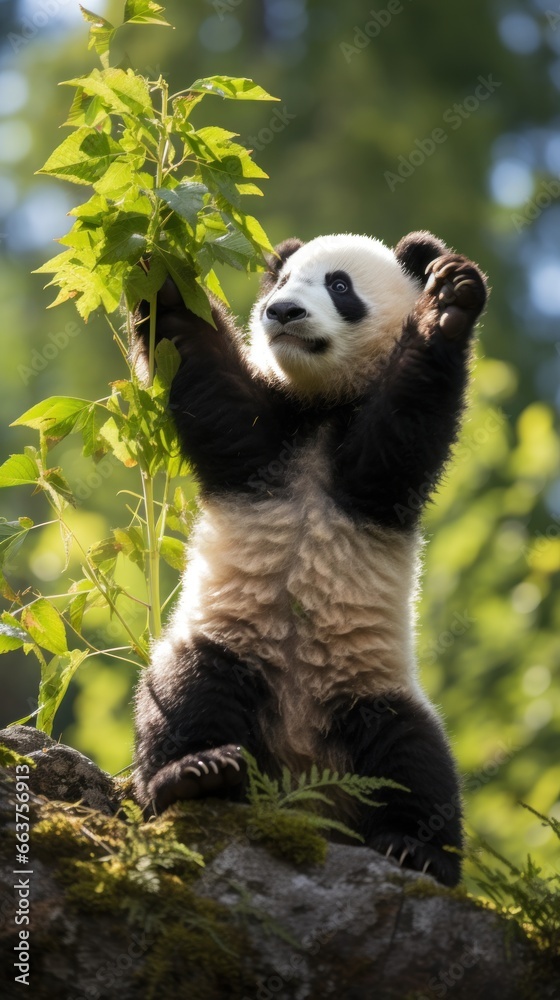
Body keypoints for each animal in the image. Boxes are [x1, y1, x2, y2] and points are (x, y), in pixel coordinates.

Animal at [131, 230, 486, 888]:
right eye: (283, 279)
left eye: (339, 285)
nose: (282, 312)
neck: (322, 407)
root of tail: (303, 781)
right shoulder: (265, 438)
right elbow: (198, 365)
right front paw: (156, 260)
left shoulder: (373, 472)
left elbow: (402, 430)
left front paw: (450, 301)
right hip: (231, 645)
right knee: (185, 694)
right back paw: (194, 775)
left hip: (369, 688)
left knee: (416, 757)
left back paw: (416, 850)